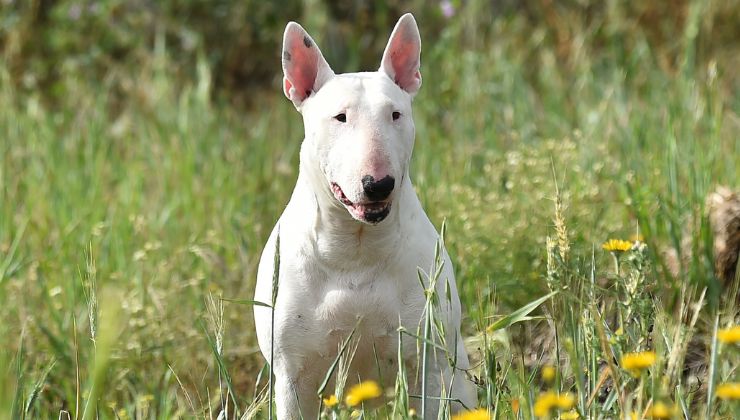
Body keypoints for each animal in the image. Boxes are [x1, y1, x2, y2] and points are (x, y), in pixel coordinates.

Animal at [253, 13, 474, 420]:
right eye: (340, 117)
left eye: (396, 114)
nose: (379, 184)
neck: (354, 248)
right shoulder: (292, 375)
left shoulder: (429, 365)